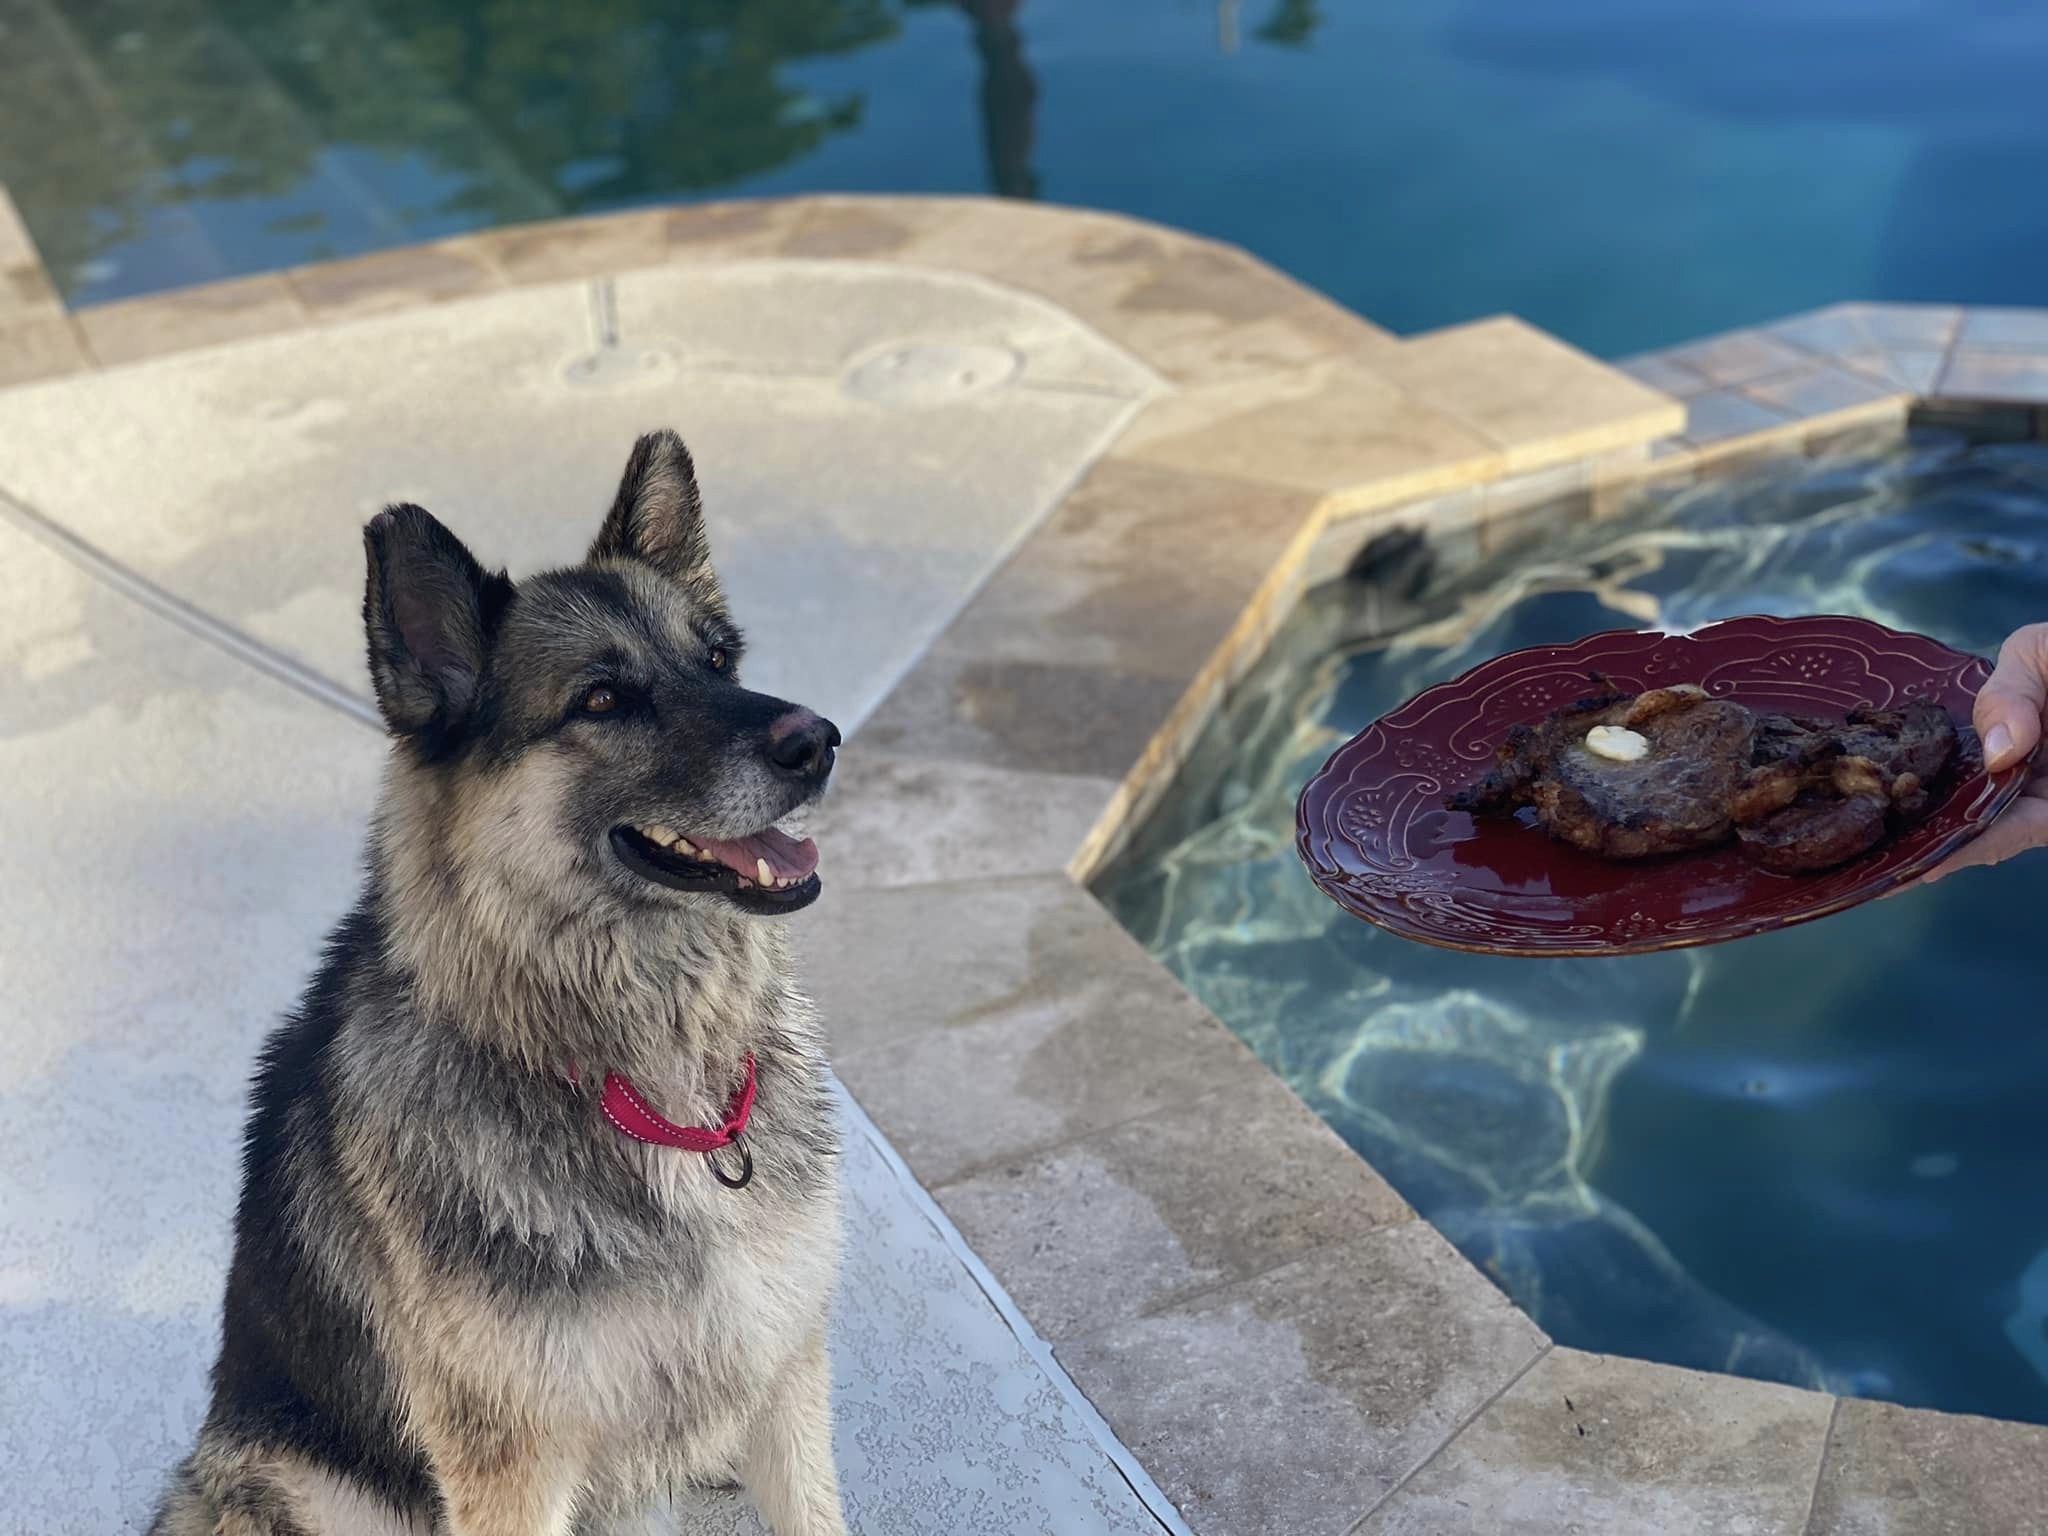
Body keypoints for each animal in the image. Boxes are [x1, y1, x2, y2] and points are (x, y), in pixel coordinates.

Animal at [148, 434, 843, 1536]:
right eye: (601, 698)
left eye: (718, 659)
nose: (817, 742)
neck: (637, 1076)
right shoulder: (510, 1466)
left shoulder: (784, 1378)